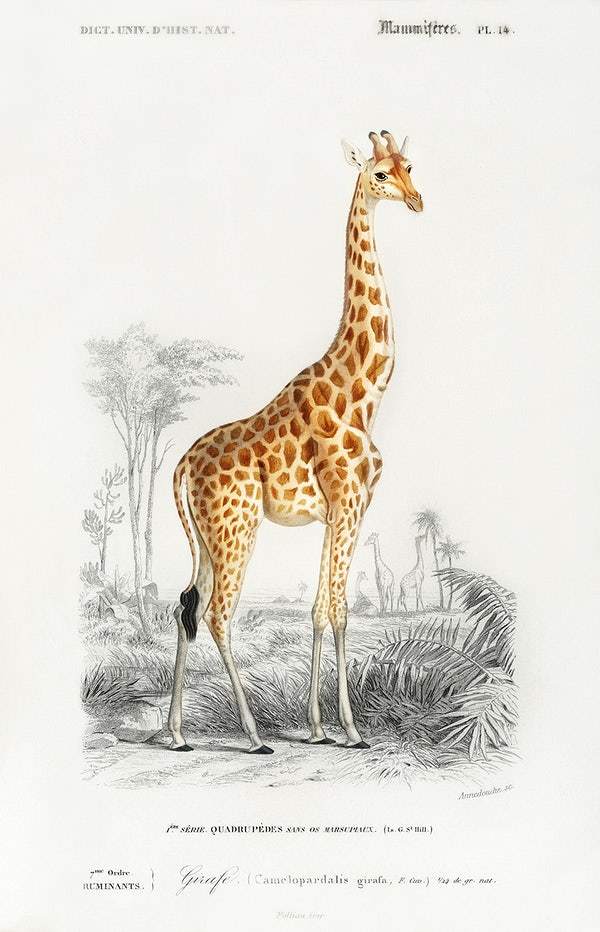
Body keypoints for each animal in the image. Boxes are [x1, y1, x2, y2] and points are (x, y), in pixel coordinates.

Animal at [168, 129, 423, 753]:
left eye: (410, 165)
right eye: (380, 174)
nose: (416, 200)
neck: (365, 392)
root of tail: (181, 466)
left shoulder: (338, 512)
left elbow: (318, 609)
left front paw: (318, 728)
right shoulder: (349, 503)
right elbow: (340, 609)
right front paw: (350, 730)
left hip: (207, 538)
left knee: (185, 605)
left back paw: (176, 734)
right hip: (236, 529)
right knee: (217, 614)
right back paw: (255, 735)